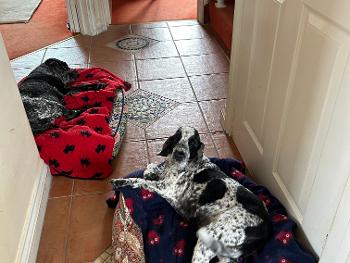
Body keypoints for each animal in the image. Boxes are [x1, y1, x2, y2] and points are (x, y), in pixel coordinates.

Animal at [111, 127, 270, 262]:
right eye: (177, 137)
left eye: (192, 142)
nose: (179, 154)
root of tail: (266, 231)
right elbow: (151, 168)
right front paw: (152, 170)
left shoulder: (165, 188)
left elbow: (139, 180)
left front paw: (120, 182)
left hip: (207, 241)